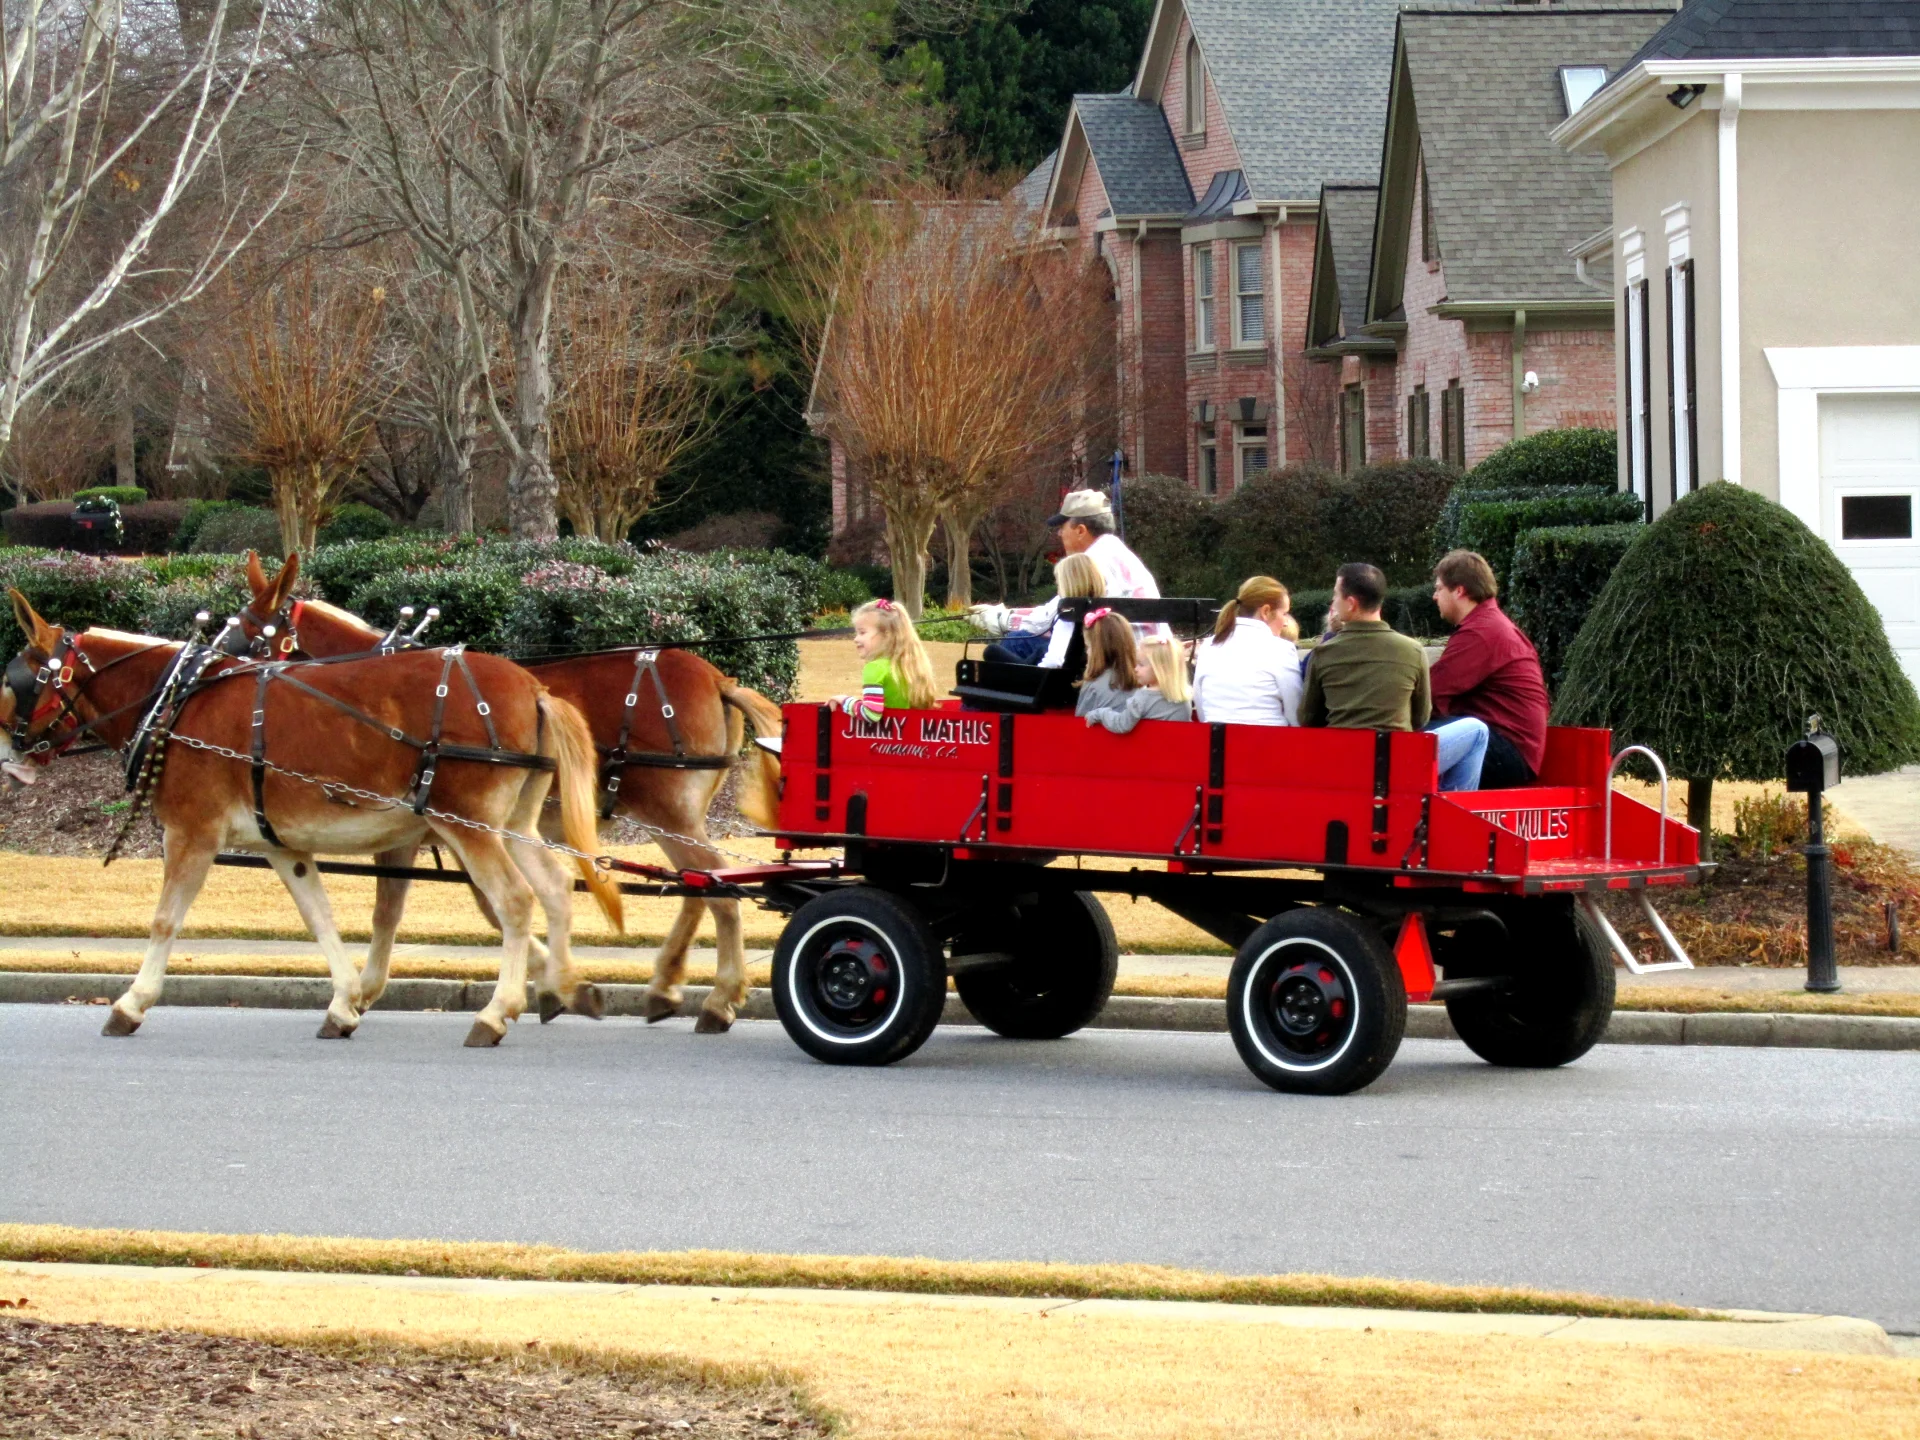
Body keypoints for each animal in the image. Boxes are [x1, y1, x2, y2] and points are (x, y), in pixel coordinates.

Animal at [2, 588, 623, 1046]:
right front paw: (345, 1002)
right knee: (554, 888)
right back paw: (562, 982)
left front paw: (132, 1002)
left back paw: (495, 1013)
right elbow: (319, 916)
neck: (178, 701)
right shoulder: (282, 844)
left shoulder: (191, 832)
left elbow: (164, 921)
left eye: (15, 683)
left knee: (515, 901)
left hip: (466, 822)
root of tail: (534, 686)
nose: (7, 755)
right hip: (512, 822)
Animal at [239, 553, 784, 1033]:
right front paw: (553, 983)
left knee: (716, 889)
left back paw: (717, 998)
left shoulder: (431, 828)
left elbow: (401, 910)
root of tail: (717, 678)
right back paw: (668, 984)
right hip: (672, 815)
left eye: (244, 632)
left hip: (666, 810)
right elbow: (479, 905)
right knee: (700, 885)